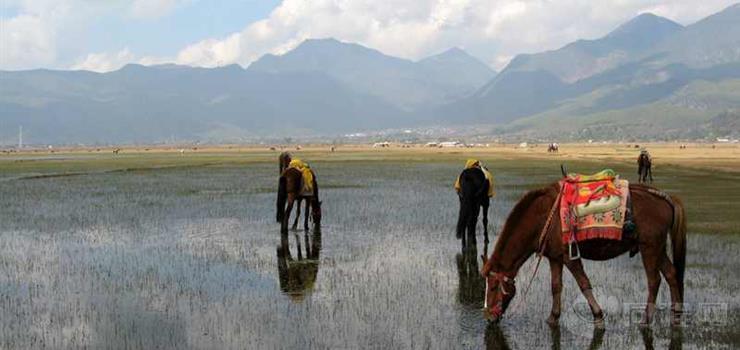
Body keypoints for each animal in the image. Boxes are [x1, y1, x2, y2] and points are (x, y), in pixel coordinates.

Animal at [480, 182, 688, 326]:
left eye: (493, 287)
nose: (489, 318)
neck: (543, 217)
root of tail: (665, 198)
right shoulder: (555, 258)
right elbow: (556, 286)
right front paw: (553, 317)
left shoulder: (570, 257)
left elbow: (583, 284)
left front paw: (598, 316)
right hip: (658, 249)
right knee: (671, 274)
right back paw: (676, 314)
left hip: (649, 248)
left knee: (654, 281)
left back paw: (646, 318)